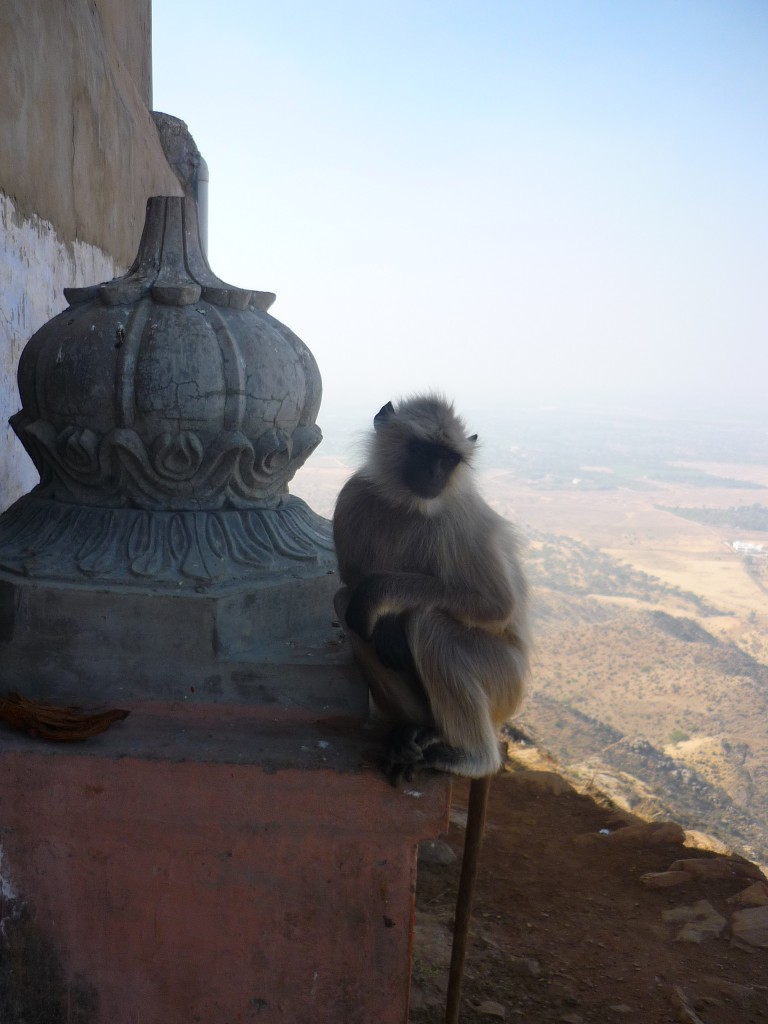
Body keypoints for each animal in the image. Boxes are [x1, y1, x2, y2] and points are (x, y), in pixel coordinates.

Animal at [331, 395, 528, 778]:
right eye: (423, 450)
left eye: (448, 459)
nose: (436, 474)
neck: (409, 505)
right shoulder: (353, 494)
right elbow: (351, 578)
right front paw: (387, 625)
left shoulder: (460, 519)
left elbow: (497, 605)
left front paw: (385, 602)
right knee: (348, 605)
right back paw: (418, 732)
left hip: (505, 679)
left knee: (427, 624)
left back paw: (471, 757)